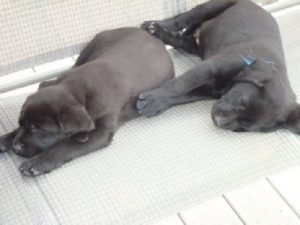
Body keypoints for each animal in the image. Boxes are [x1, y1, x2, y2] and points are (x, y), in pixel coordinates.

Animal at [0, 27, 173, 176]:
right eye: (21, 123)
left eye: (37, 129)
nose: (15, 147)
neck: (77, 92)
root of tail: (149, 34)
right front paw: (6, 138)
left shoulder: (102, 131)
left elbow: (66, 145)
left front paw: (37, 163)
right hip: (87, 51)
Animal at [137, 0, 300, 134]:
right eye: (242, 100)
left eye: (244, 126)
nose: (219, 122)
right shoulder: (211, 67)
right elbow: (181, 84)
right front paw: (153, 99)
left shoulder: (209, 91)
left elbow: (183, 96)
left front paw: (156, 103)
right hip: (212, 6)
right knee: (182, 19)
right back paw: (156, 28)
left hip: (196, 46)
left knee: (182, 40)